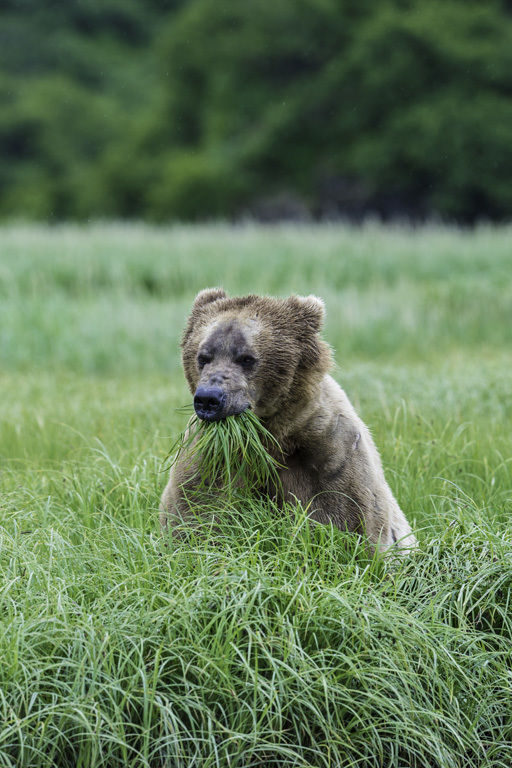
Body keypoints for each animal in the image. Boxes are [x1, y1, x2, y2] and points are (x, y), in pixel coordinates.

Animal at [161, 288, 416, 552]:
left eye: (246, 358)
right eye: (203, 357)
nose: (209, 398)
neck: (269, 435)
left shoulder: (330, 456)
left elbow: (346, 519)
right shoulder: (210, 460)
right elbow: (195, 511)